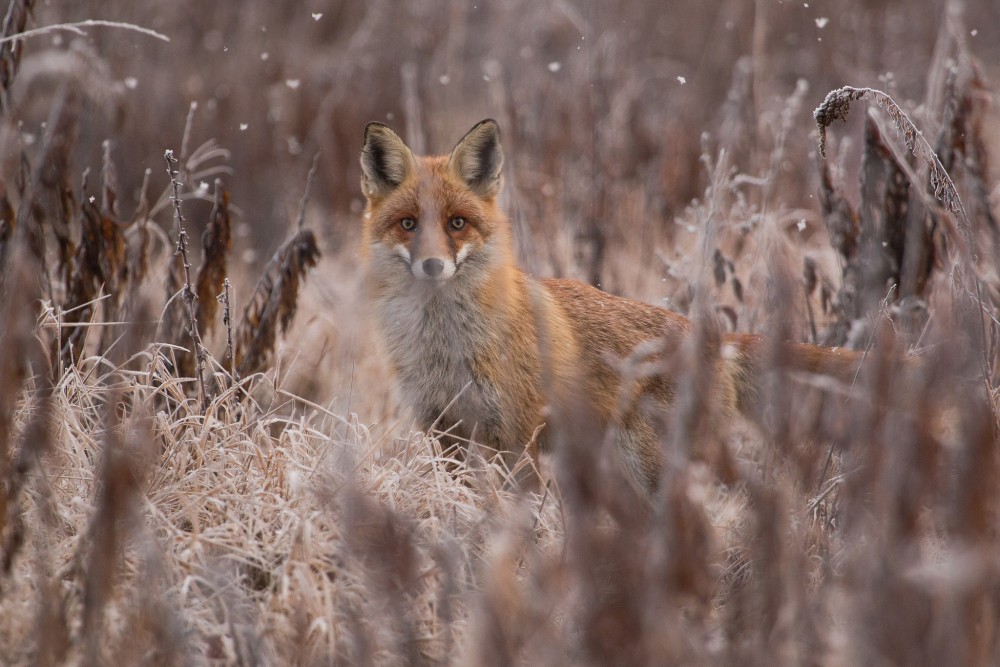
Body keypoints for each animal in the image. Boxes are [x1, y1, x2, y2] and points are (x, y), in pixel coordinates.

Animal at [360, 118, 860, 496]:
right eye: (409, 224)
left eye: (457, 223)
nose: (432, 265)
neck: (444, 346)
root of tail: (717, 339)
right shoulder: (445, 433)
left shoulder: (517, 437)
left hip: (653, 464)